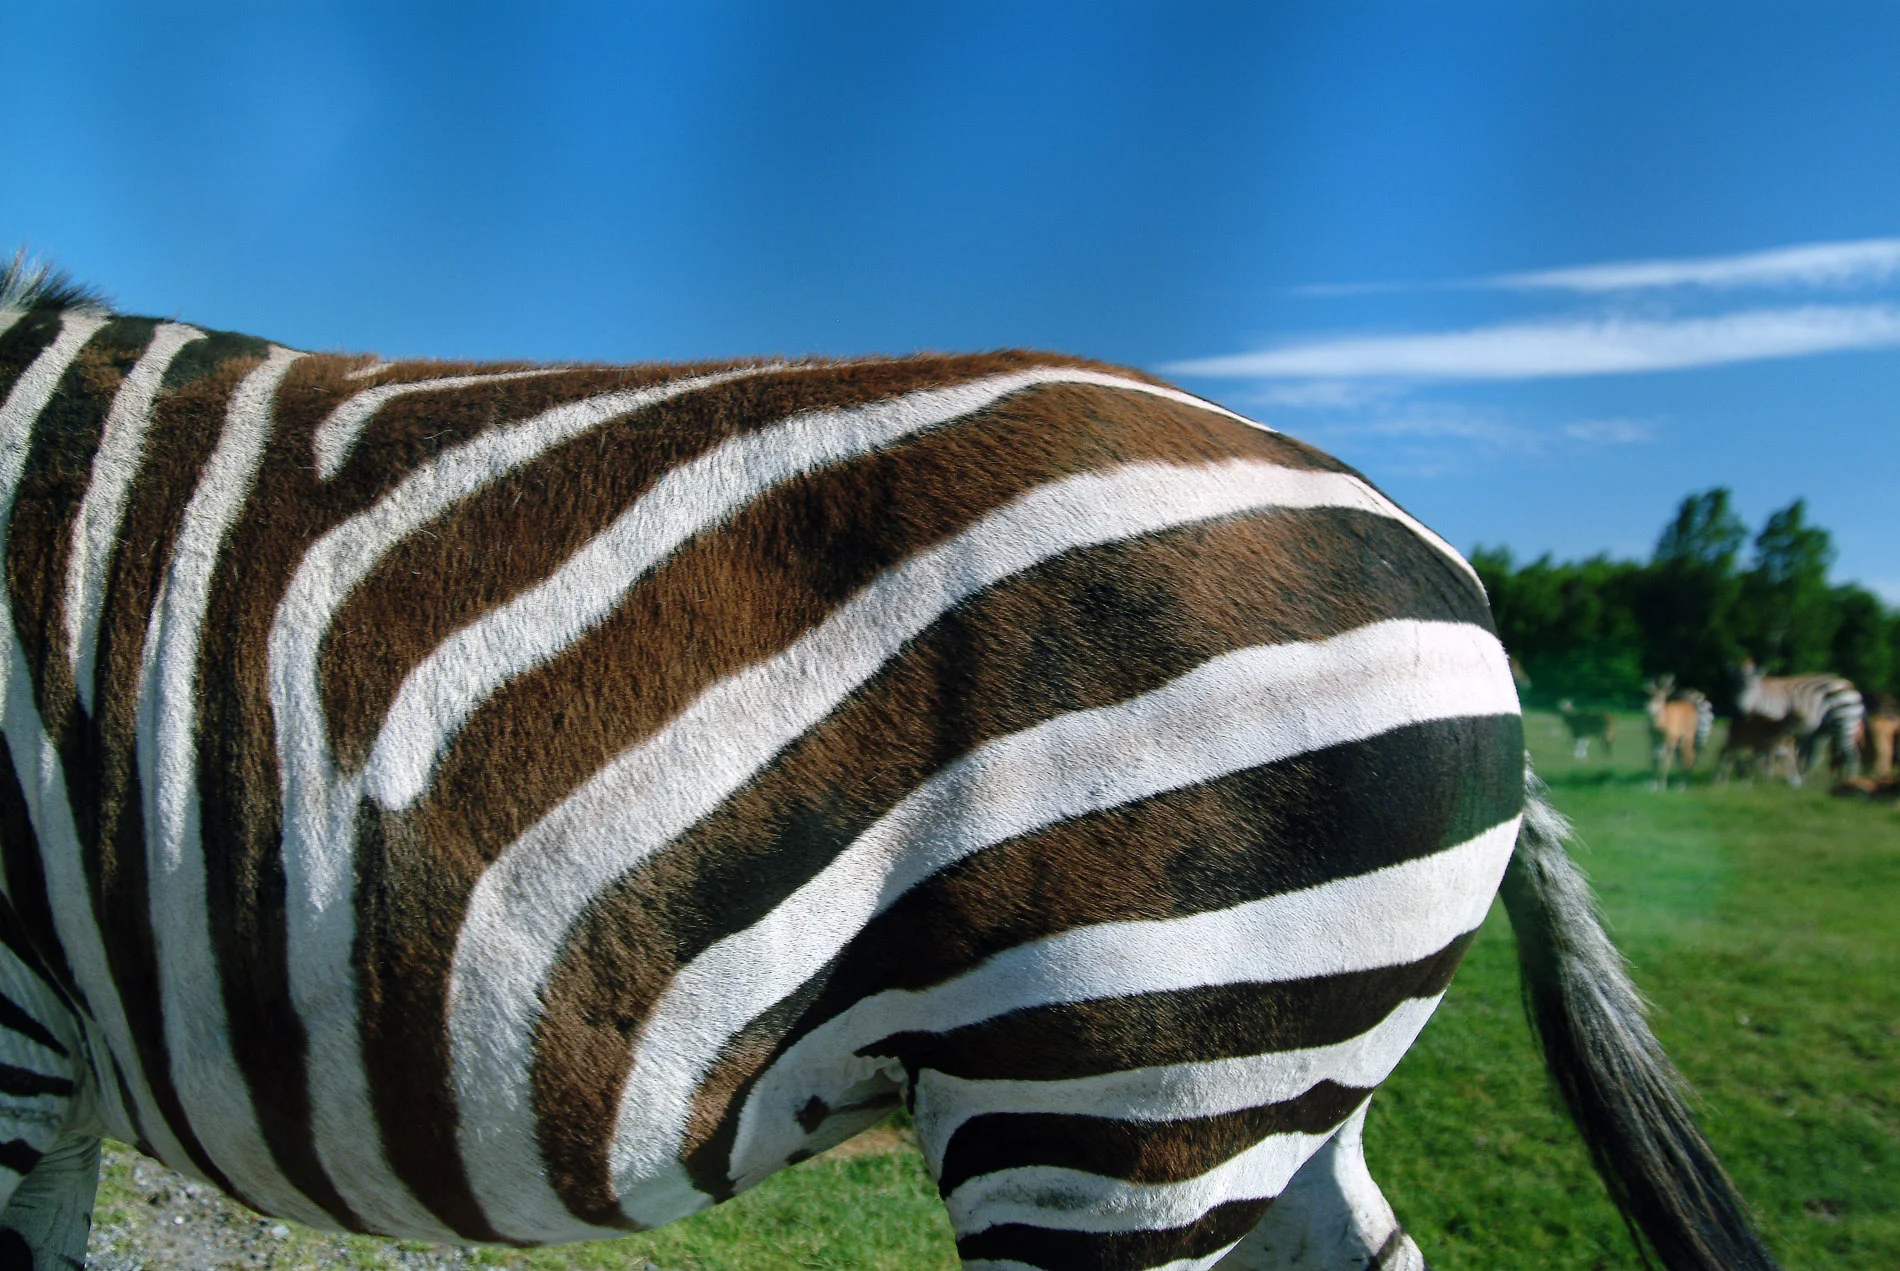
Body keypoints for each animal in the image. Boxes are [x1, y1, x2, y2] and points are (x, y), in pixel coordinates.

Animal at [1734, 659, 1864, 780]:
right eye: (1738, 688)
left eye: (1752, 688)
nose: (1743, 713)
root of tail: (1849, 685)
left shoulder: (1775, 726)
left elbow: (1770, 751)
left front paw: (1764, 774)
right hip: (1824, 729)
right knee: (1816, 756)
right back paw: (1804, 777)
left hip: (1845, 724)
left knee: (1852, 755)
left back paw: (1849, 780)